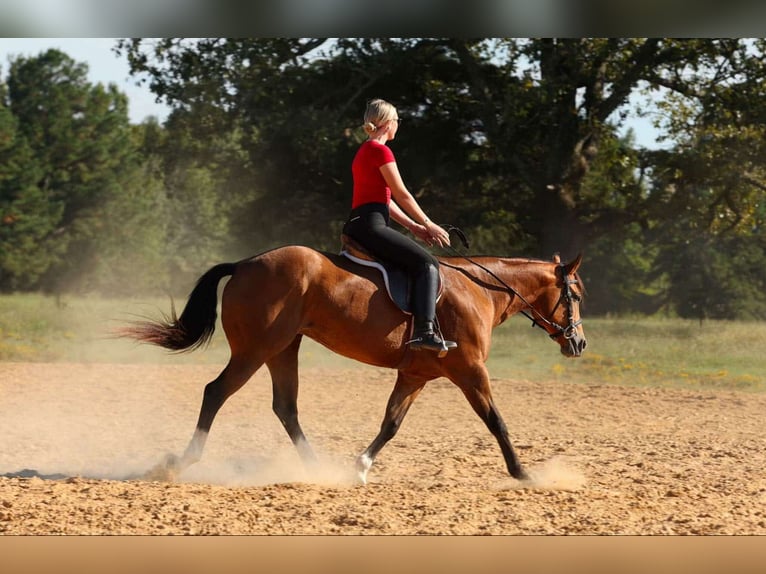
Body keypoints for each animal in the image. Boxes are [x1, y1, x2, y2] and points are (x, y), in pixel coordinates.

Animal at [119, 244, 586, 484]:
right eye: (576, 295)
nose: (579, 343)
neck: (479, 291)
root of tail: (245, 263)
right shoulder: (470, 371)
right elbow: (496, 421)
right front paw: (523, 473)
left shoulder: (416, 374)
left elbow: (391, 424)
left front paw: (359, 467)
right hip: (255, 349)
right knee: (216, 392)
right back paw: (180, 463)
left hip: (282, 349)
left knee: (285, 407)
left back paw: (315, 467)